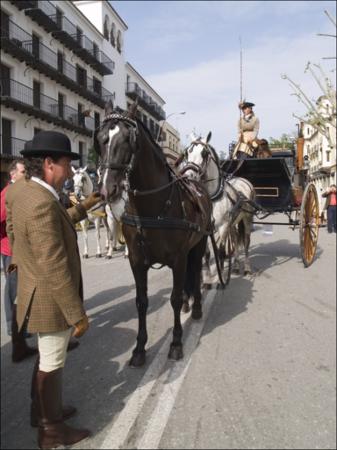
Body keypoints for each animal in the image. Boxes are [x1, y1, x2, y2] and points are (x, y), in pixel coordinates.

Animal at [93, 101, 211, 366]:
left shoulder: (178, 259)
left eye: (128, 140)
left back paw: (197, 307)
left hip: (199, 244)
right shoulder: (137, 262)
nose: (107, 189)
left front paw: (176, 343)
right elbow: (141, 302)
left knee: (197, 270)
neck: (154, 208)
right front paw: (139, 348)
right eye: (100, 139)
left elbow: (174, 299)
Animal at [180, 132, 253, 276]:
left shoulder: (223, 226)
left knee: (246, 241)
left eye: (204, 153)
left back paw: (247, 267)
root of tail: (244, 180)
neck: (212, 198)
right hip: (233, 222)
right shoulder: (206, 229)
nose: (188, 177)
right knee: (235, 240)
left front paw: (221, 275)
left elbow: (220, 251)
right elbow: (207, 253)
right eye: (186, 152)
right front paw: (208, 274)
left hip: (247, 218)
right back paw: (236, 265)